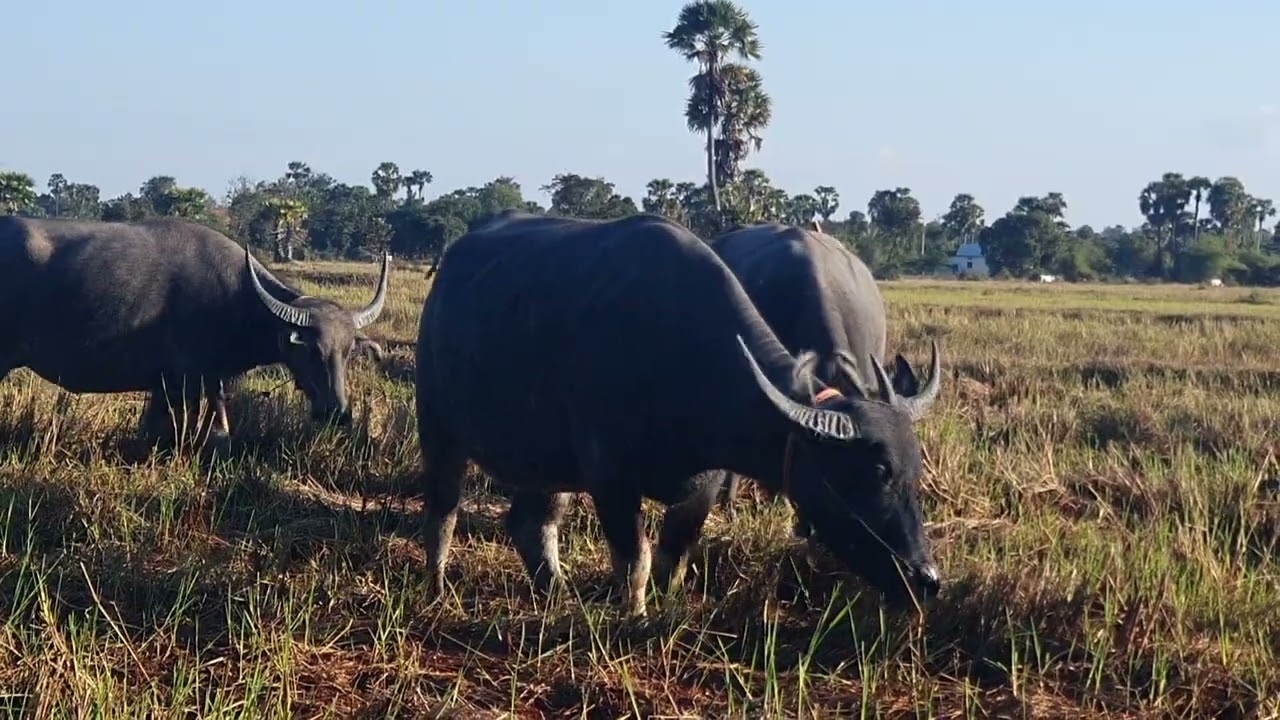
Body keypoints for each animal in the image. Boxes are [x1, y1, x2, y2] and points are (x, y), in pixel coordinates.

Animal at [0, 216, 391, 445]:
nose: (338, 413)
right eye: (311, 350)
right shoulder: (188, 378)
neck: (234, 297)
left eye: (348, 352)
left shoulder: (174, 382)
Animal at [414, 210, 943, 615]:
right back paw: (436, 589)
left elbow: (674, 558)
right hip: (438, 431)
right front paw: (635, 615)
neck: (687, 358)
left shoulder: (703, 484)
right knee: (442, 513)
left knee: (531, 524)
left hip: (546, 460)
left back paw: (556, 595)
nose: (926, 578)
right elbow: (636, 560)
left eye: (915, 472)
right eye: (875, 471)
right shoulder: (611, 477)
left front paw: (664, 612)